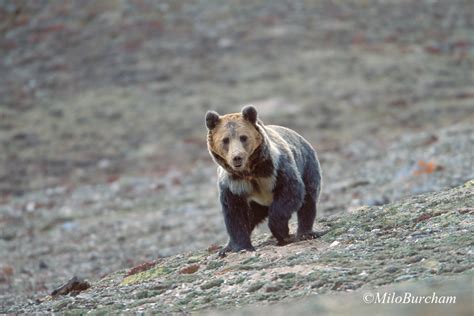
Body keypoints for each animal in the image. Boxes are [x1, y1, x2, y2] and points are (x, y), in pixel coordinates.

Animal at [205, 105, 322, 256]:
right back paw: (226, 247)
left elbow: (291, 191)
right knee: (252, 216)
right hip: (257, 203)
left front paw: (282, 233)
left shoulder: (276, 169)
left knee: (308, 200)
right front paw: (240, 246)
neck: (250, 171)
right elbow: (235, 213)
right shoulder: (232, 183)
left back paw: (305, 233)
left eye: (243, 137)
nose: (237, 157)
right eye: (225, 140)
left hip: (308, 166)